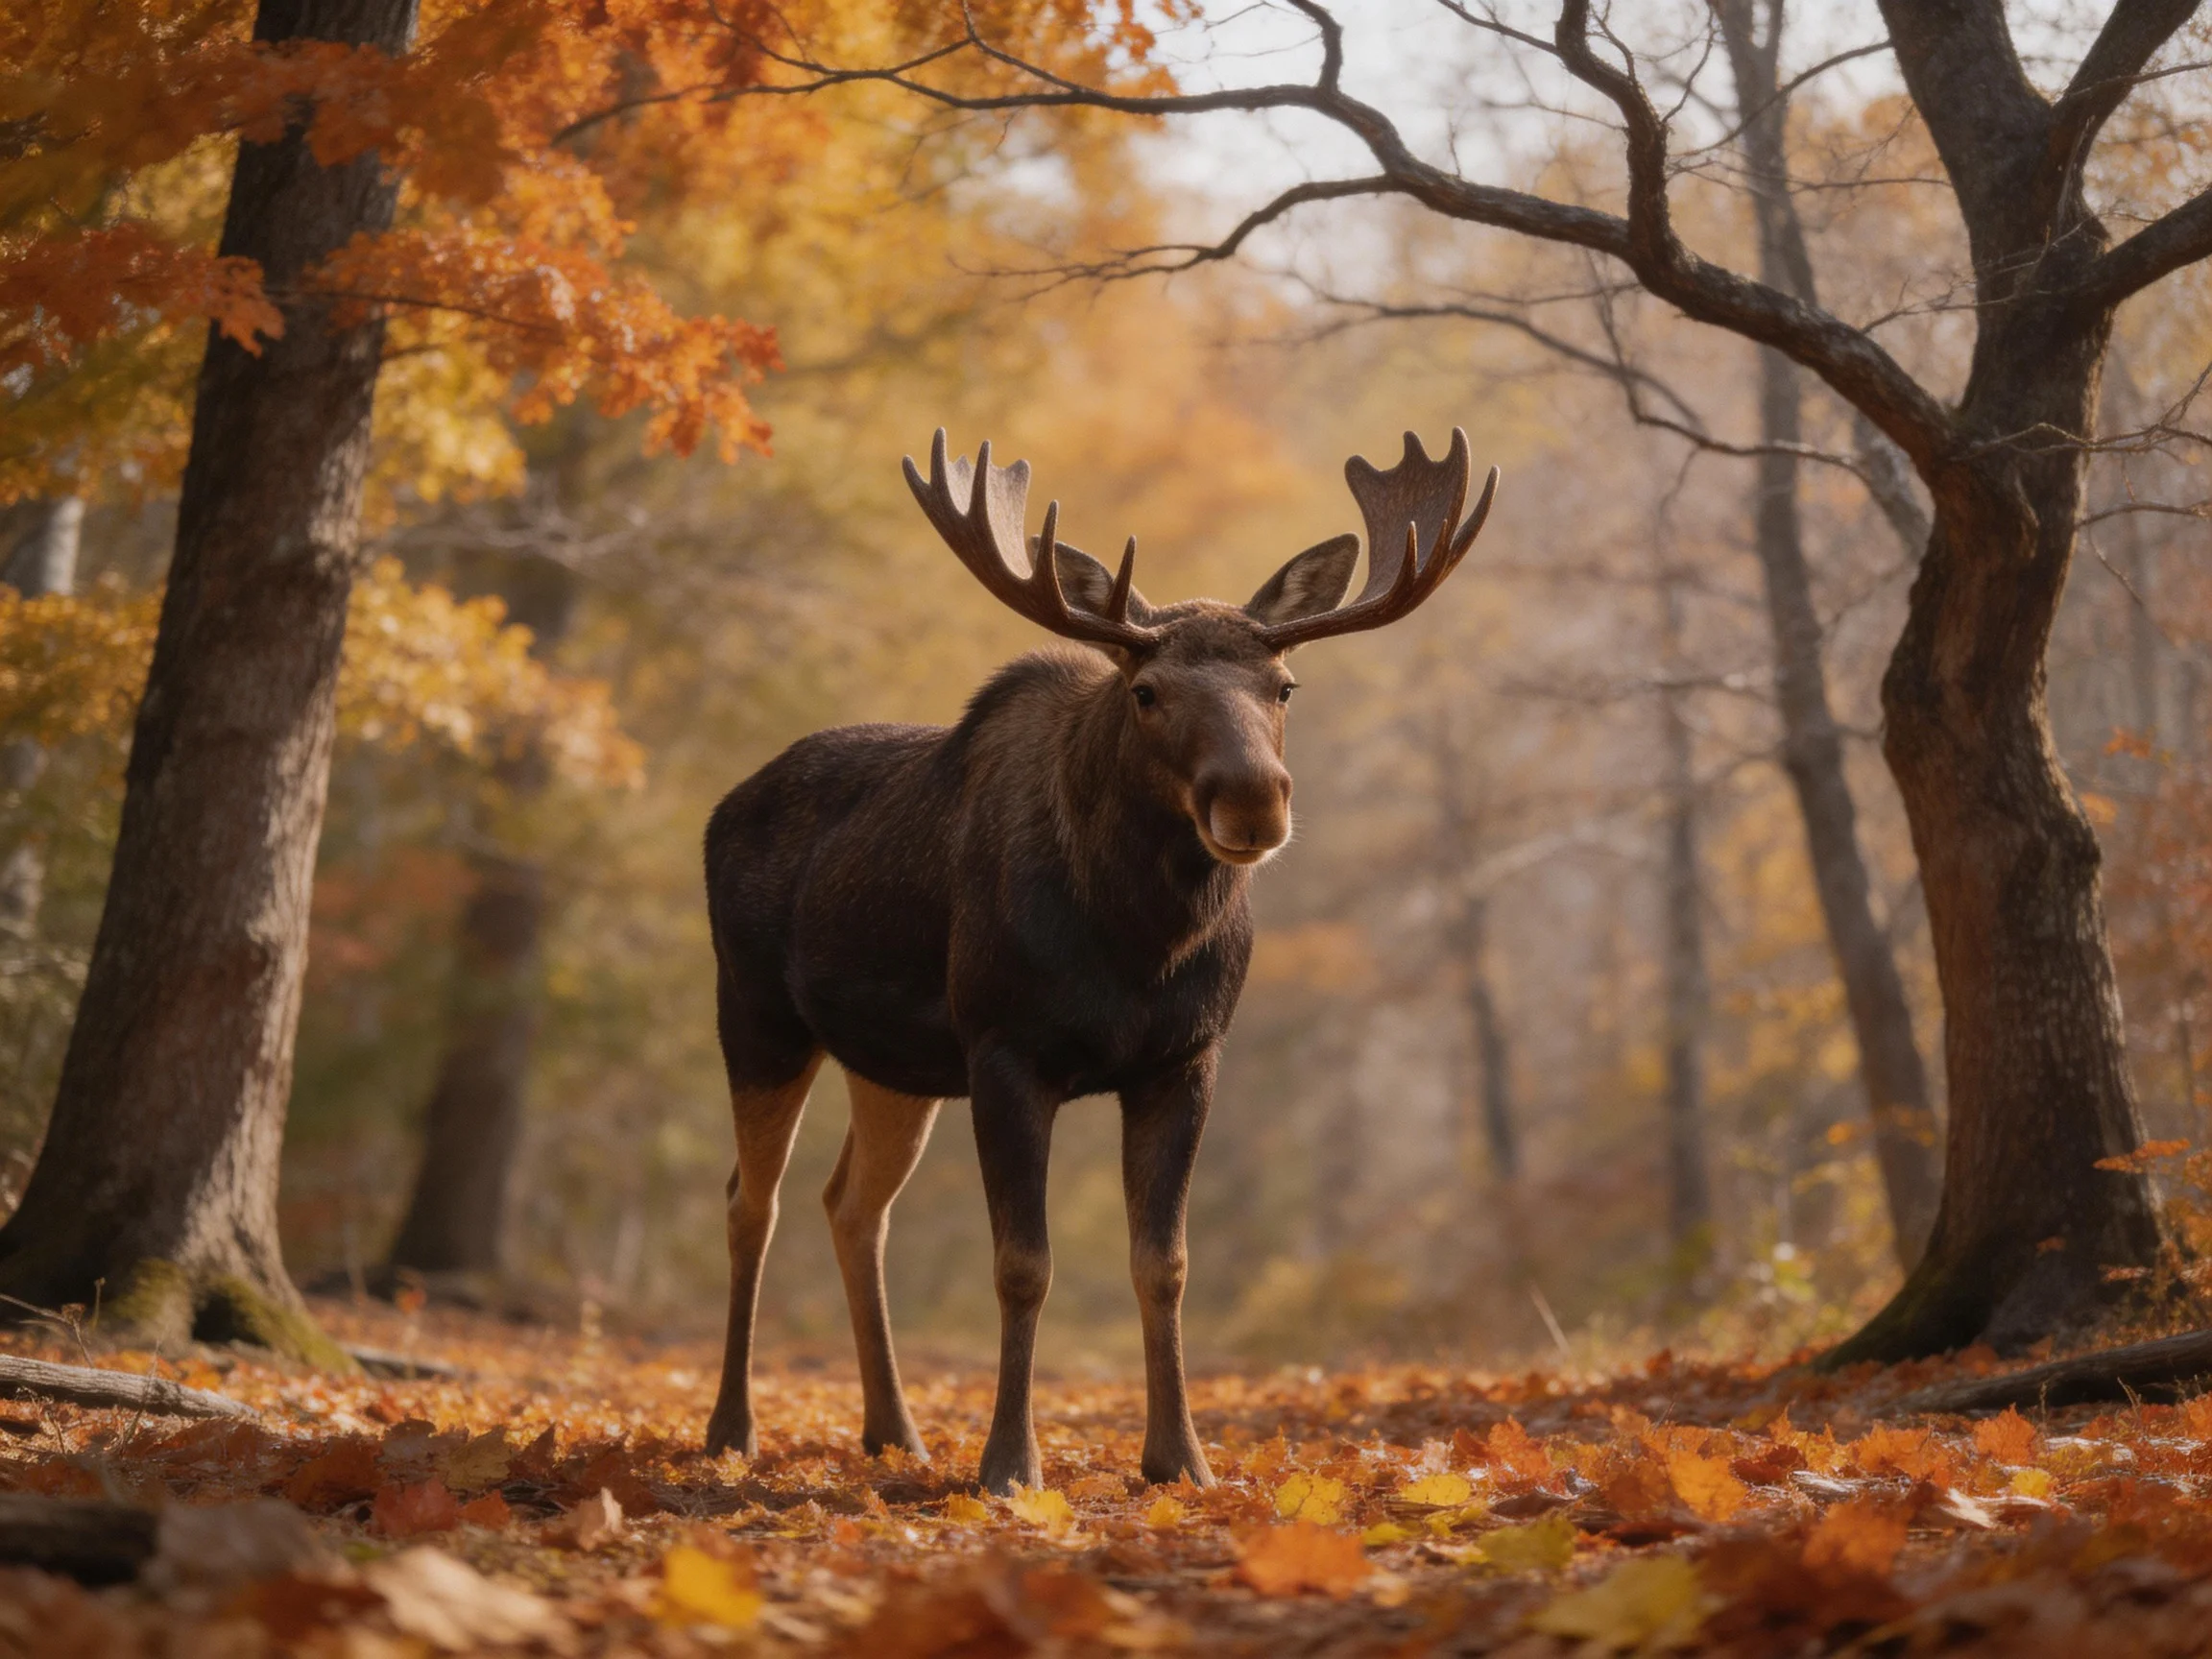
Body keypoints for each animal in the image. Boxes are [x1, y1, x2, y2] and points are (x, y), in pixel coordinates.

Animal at [702, 428, 1497, 1493]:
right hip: (755, 1013)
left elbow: (1164, 1262)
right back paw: (732, 1429)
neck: (1136, 947)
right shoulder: (1004, 1047)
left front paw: (1180, 1459)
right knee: (753, 1201)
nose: (1255, 798)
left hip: (894, 1065)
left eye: (1283, 687)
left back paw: (895, 1431)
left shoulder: (1185, 1058)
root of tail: (723, 806)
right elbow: (1022, 1264)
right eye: (1147, 690)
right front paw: (1008, 1465)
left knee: (852, 1205)